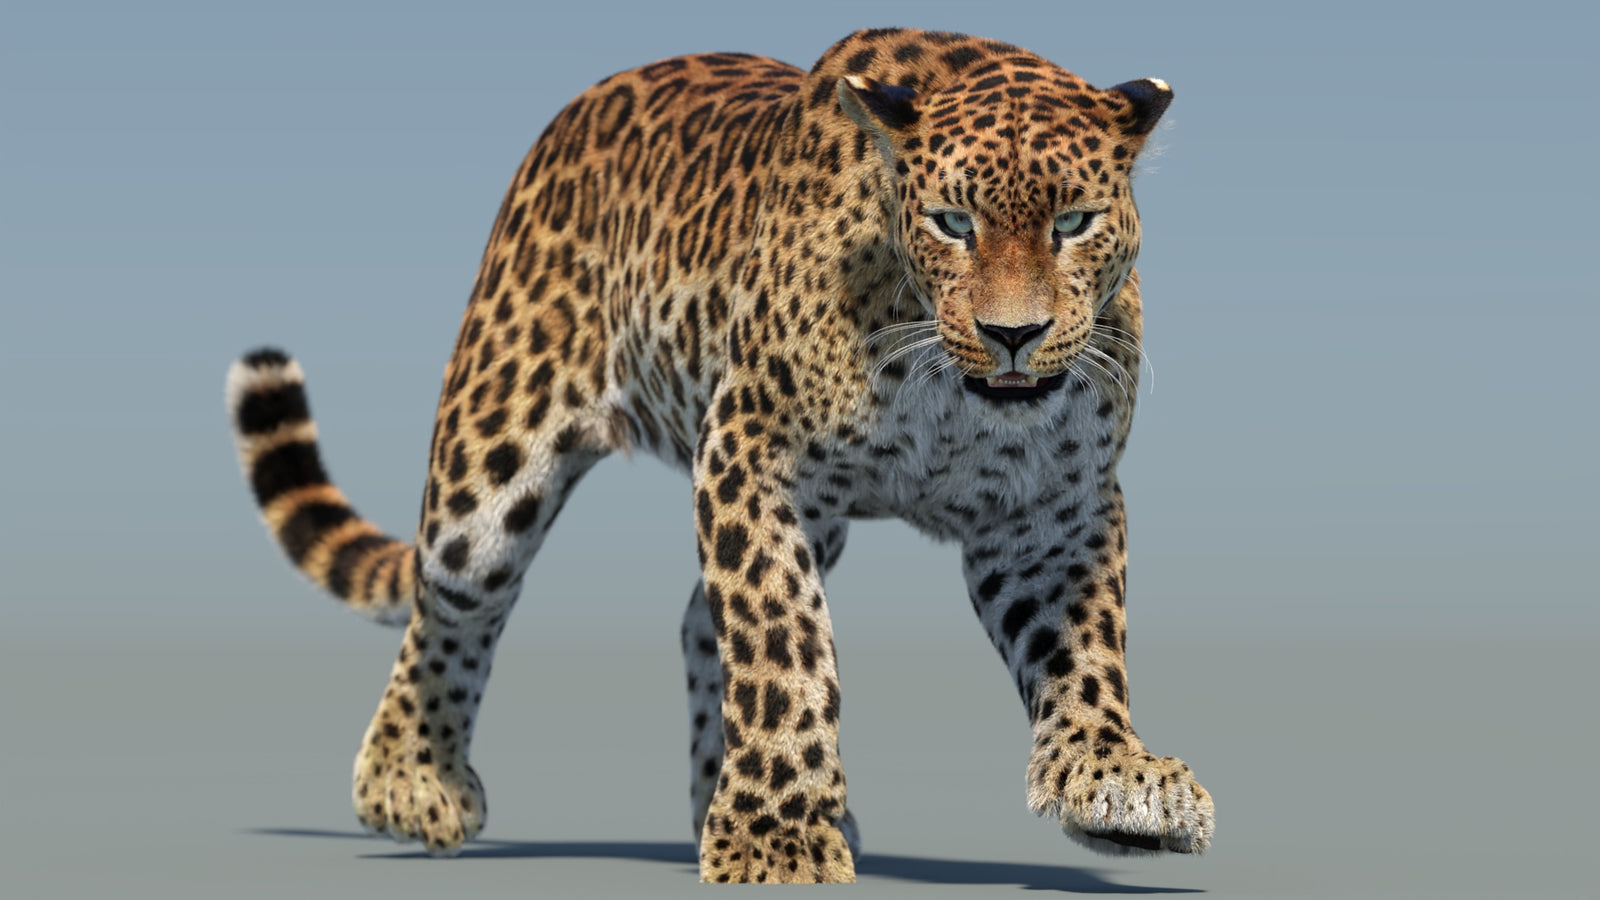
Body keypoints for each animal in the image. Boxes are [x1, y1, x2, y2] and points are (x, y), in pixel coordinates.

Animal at [226, 28, 1212, 883]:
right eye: (951, 222)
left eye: (1074, 221)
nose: (1015, 335)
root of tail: (577, 110)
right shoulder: (749, 451)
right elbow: (780, 638)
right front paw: (779, 839)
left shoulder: (1054, 505)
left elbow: (1082, 643)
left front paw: (1113, 777)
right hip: (495, 454)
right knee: (453, 597)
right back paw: (410, 779)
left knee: (698, 619)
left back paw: (713, 798)